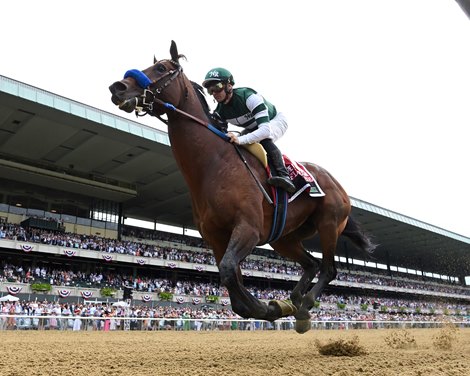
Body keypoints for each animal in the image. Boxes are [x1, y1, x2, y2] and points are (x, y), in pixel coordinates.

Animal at [109, 40, 374, 334]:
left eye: (161, 68)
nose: (118, 87)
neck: (214, 164)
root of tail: (337, 184)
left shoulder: (248, 228)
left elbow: (228, 271)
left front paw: (268, 308)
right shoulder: (216, 237)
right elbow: (231, 282)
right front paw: (274, 307)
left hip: (329, 223)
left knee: (328, 269)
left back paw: (304, 306)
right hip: (284, 238)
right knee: (312, 264)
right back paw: (294, 301)